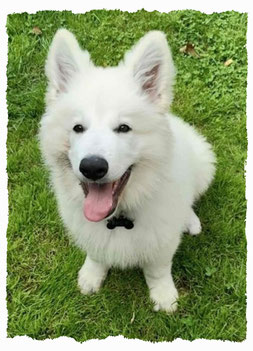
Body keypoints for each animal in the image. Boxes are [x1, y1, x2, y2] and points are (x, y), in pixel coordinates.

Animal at [39, 28, 215, 314]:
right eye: (78, 128)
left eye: (123, 128)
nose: (92, 167)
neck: (119, 215)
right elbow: (96, 255)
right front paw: (91, 276)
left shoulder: (162, 241)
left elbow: (158, 270)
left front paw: (163, 296)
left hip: (203, 164)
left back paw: (189, 220)